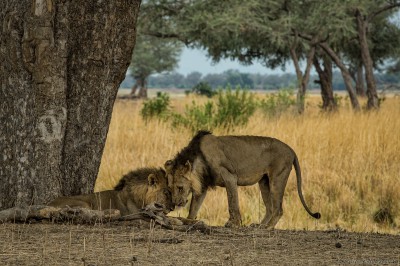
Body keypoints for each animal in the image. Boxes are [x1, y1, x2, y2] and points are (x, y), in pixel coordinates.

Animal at [164, 130, 320, 229]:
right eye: (170, 188)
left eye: (180, 187)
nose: (175, 203)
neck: (199, 159)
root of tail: (292, 150)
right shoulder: (203, 185)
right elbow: (194, 207)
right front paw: (189, 221)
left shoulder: (230, 177)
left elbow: (232, 202)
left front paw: (234, 223)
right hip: (264, 182)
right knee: (269, 208)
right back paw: (260, 225)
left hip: (278, 178)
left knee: (278, 209)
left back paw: (268, 227)